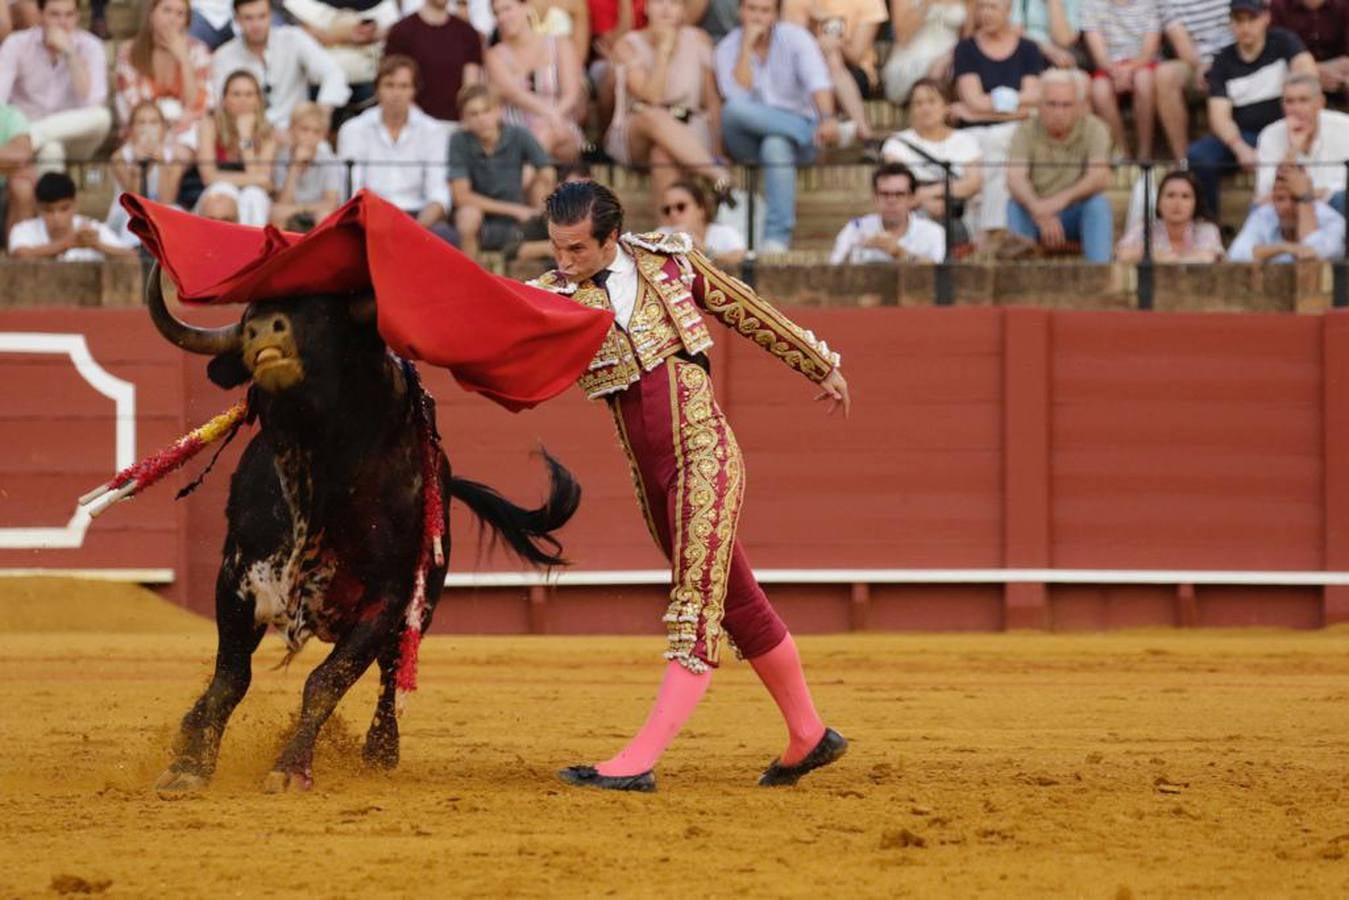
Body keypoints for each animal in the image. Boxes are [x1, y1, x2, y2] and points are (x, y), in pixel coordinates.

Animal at [146, 269, 580, 793]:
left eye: (323, 315)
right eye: (249, 315)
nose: (262, 331)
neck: (325, 477)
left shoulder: (386, 598)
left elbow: (325, 681)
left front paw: (290, 768)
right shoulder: (236, 579)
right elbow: (231, 676)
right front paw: (190, 764)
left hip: (424, 601)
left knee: (392, 670)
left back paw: (381, 750)